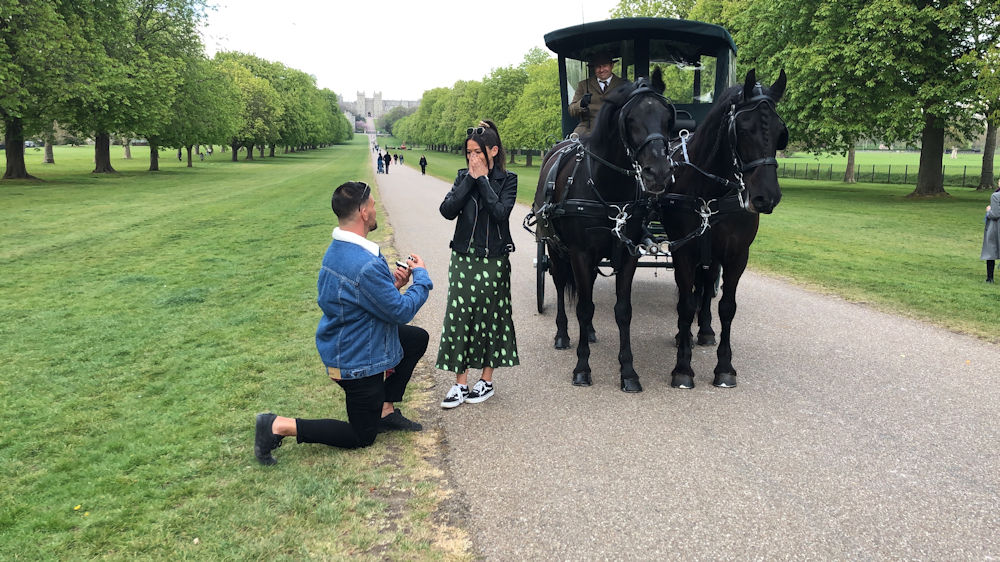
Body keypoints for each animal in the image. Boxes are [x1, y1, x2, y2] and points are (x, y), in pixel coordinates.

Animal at [536, 72, 676, 392]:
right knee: (561, 285)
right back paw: (563, 335)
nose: (659, 173)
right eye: (631, 118)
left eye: (667, 117)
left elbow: (622, 310)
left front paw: (628, 371)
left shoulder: (628, 254)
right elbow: (583, 306)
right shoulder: (579, 254)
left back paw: (589, 332)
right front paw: (582, 368)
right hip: (554, 247)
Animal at [656, 68, 788, 388]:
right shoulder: (683, 251)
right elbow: (685, 304)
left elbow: (726, 307)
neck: (709, 190)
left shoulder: (736, 255)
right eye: (743, 128)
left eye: (781, 132)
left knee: (704, 288)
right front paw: (683, 367)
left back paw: (704, 331)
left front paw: (725, 366)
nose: (766, 196)